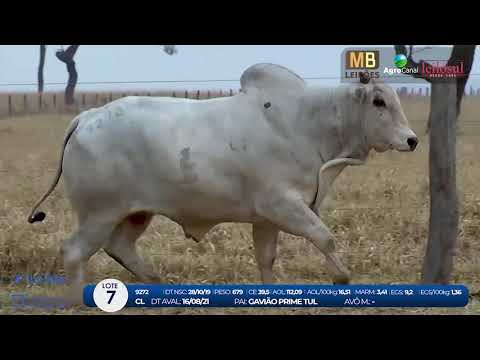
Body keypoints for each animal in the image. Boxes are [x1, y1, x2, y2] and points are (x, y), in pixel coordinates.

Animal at [27, 64, 416, 298]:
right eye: (379, 101)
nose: (411, 140)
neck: (308, 122)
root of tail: (88, 116)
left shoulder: (267, 219)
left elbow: (266, 259)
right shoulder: (283, 205)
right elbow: (325, 237)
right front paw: (342, 278)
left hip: (135, 213)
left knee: (120, 247)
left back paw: (157, 284)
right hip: (99, 214)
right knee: (74, 252)